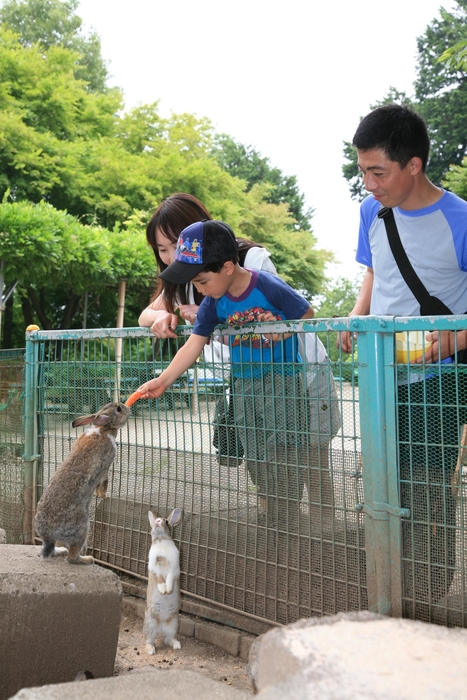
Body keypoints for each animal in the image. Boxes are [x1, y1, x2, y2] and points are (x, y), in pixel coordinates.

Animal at [34, 402, 131, 568]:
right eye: (118, 409)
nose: (128, 409)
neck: (103, 429)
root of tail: (48, 534)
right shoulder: (106, 467)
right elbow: (103, 482)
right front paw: (103, 495)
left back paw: (61, 551)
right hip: (82, 528)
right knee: (72, 557)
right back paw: (88, 559)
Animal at [144, 508, 183, 652]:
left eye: (166, 521)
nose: (157, 521)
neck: (161, 540)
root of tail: (160, 626)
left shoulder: (174, 567)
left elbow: (170, 577)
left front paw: (168, 590)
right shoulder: (154, 567)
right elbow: (159, 578)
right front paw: (163, 590)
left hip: (173, 624)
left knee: (167, 639)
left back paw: (177, 645)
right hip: (150, 623)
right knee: (148, 640)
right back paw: (150, 650)